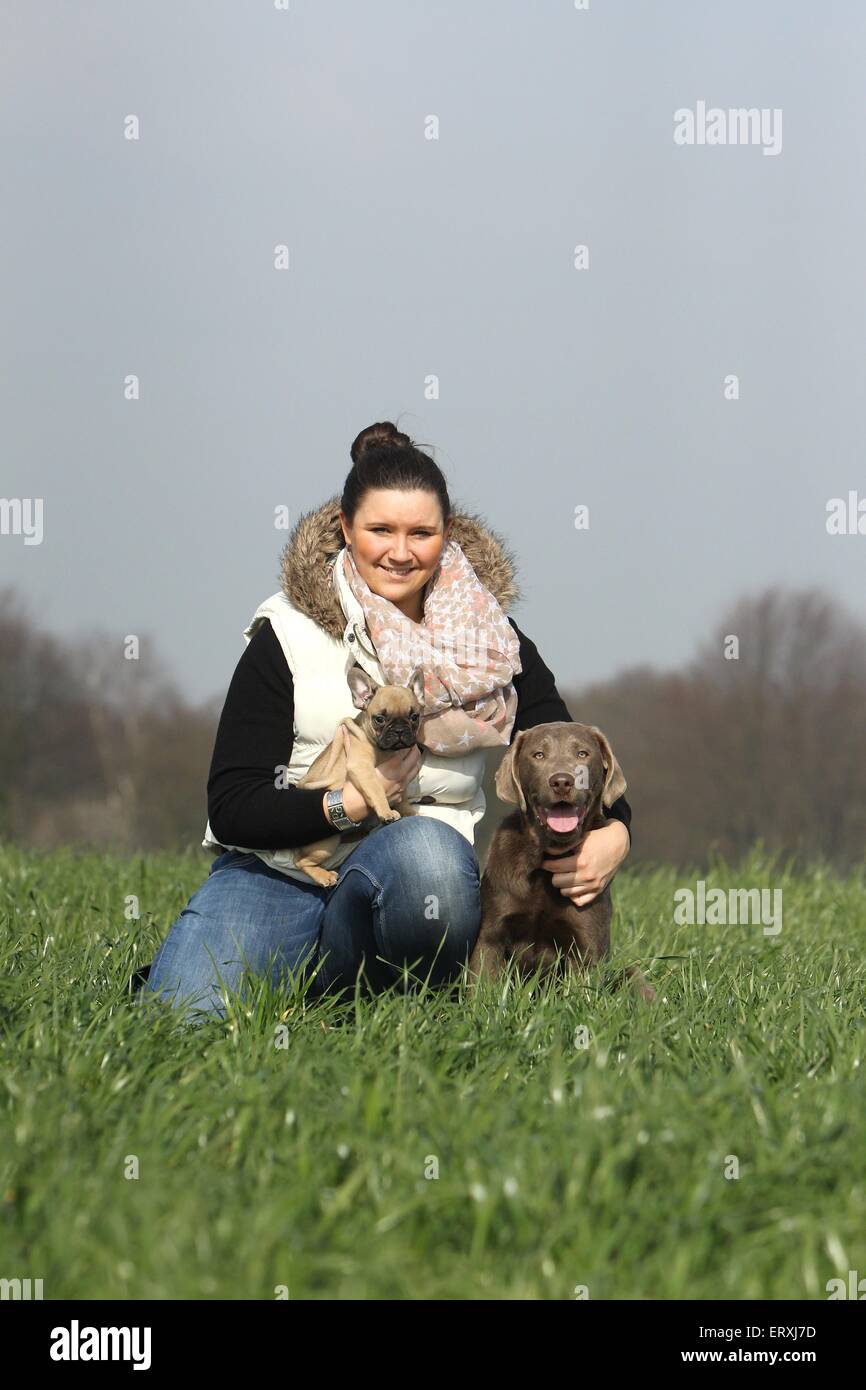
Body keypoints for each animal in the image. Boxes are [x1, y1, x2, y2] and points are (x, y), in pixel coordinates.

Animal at [293, 664, 425, 884]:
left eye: (414, 717)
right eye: (380, 719)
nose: (399, 729)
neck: (386, 751)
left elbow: (403, 797)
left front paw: (409, 812)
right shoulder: (361, 767)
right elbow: (376, 788)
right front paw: (387, 812)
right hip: (326, 844)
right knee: (301, 862)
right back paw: (324, 876)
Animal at [467, 722, 656, 1006]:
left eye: (582, 753)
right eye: (538, 755)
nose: (562, 781)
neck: (547, 859)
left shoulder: (586, 946)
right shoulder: (491, 935)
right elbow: (482, 986)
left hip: (630, 975)